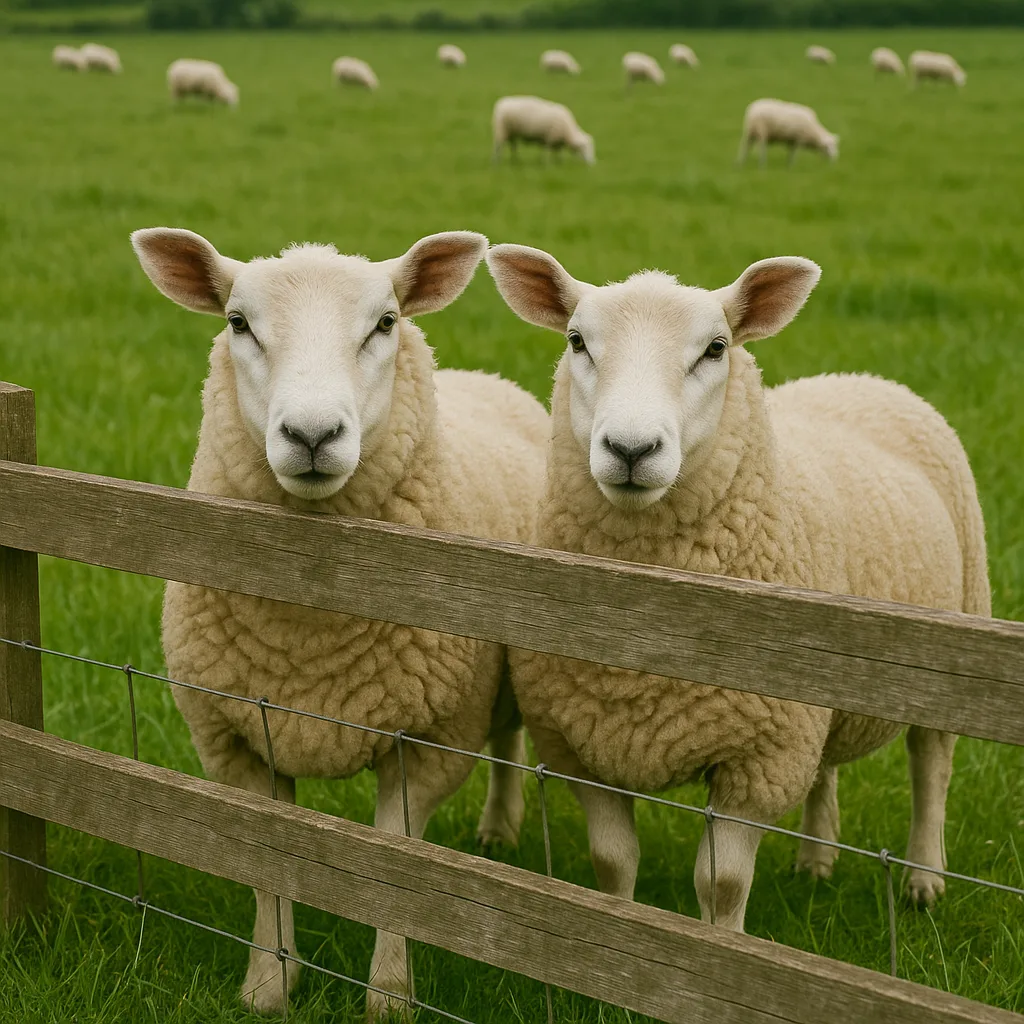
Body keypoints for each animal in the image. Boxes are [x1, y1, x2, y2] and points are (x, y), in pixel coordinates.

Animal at [130, 226, 548, 1019]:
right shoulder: (236, 738)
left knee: (509, 740)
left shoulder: (431, 741)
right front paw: (268, 986)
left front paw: (388, 998)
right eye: (238, 322)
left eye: (385, 323)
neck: (311, 633)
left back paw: (500, 831)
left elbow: (395, 867)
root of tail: (486, 377)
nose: (312, 433)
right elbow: (268, 861)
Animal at [486, 241, 989, 937]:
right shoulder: (579, 747)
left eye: (716, 348)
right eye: (576, 340)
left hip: (956, 636)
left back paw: (923, 880)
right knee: (827, 766)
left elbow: (720, 884)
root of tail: (862, 378)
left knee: (932, 765)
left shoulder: (759, 760)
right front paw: (619, 929)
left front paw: (721, 948)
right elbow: (613, 862)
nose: (632, 449)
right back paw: (816, 862)